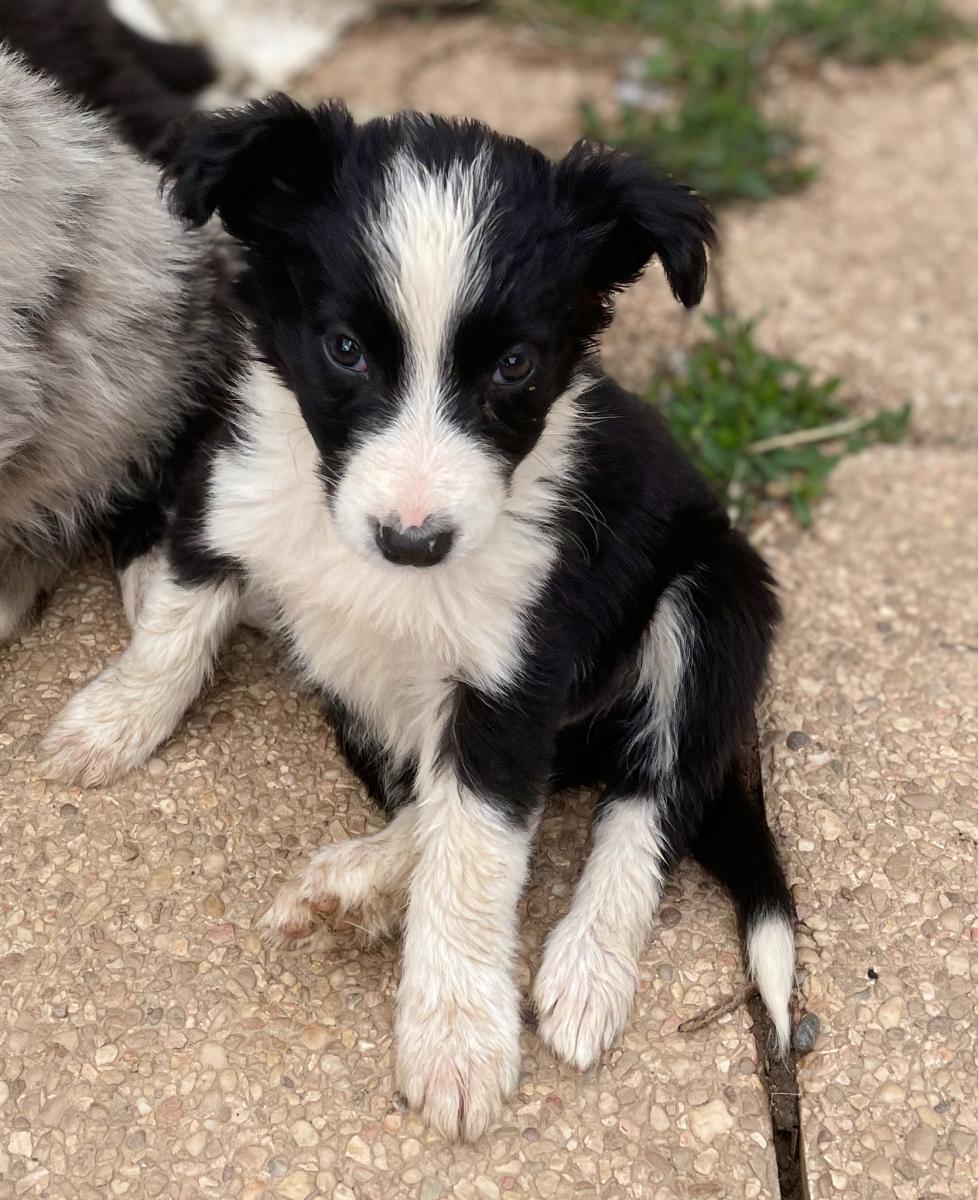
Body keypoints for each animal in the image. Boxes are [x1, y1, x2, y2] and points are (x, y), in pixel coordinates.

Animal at [42, 98, 801, 1137]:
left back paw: (585, 965)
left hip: (714, 605)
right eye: (345, 350)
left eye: (516, 365)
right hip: (373, 714)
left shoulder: (511, 675)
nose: (415, 540)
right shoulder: (229, 495)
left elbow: (476, 853)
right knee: (477, 790)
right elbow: (179, 616)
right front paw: (114, 721)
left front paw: (455, 1039)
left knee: (645, 798)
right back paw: (356, 883)